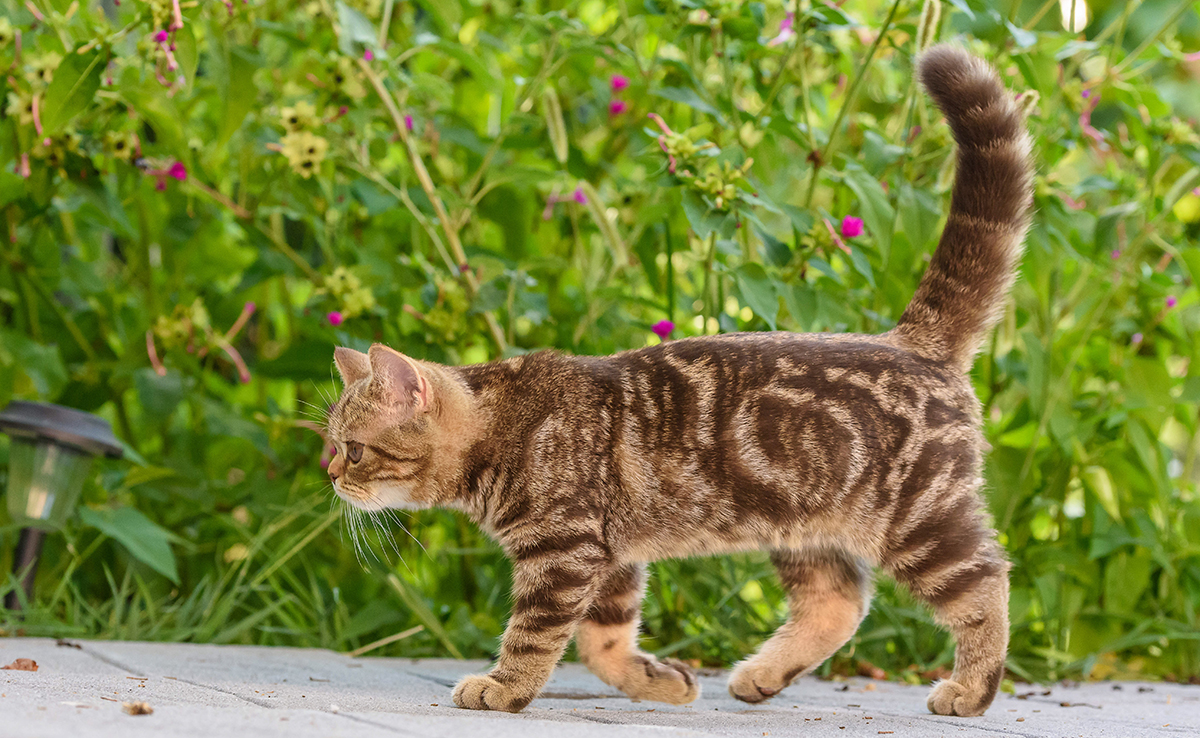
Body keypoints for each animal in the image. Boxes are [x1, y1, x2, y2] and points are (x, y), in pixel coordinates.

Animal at [324, 44, 1036, 715]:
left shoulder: (565, 552)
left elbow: (536, 635)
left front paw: (504, 687)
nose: (330, 475)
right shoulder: (611, 557)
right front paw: (657, 681)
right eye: (330, 446)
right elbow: (602, 642)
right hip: (805, 527)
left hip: (922, 521)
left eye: (353, 450)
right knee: (839, 602)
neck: (505, 420)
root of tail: (910, 341)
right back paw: (761, 675)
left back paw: (971, 689)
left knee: (987, 584)